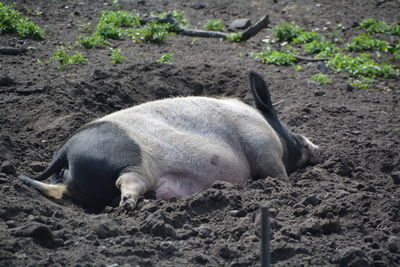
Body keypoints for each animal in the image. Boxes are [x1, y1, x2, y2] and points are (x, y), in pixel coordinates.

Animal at [18, 71, 318, 211]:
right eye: (290, 131)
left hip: (71, 183)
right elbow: (276, 175)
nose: (315, 146)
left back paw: (24, 181)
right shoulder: (263, 146)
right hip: (135, 162)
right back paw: (128, 206)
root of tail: (65, 151)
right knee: (128, 181)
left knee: (59, 190)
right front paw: (285, 186)